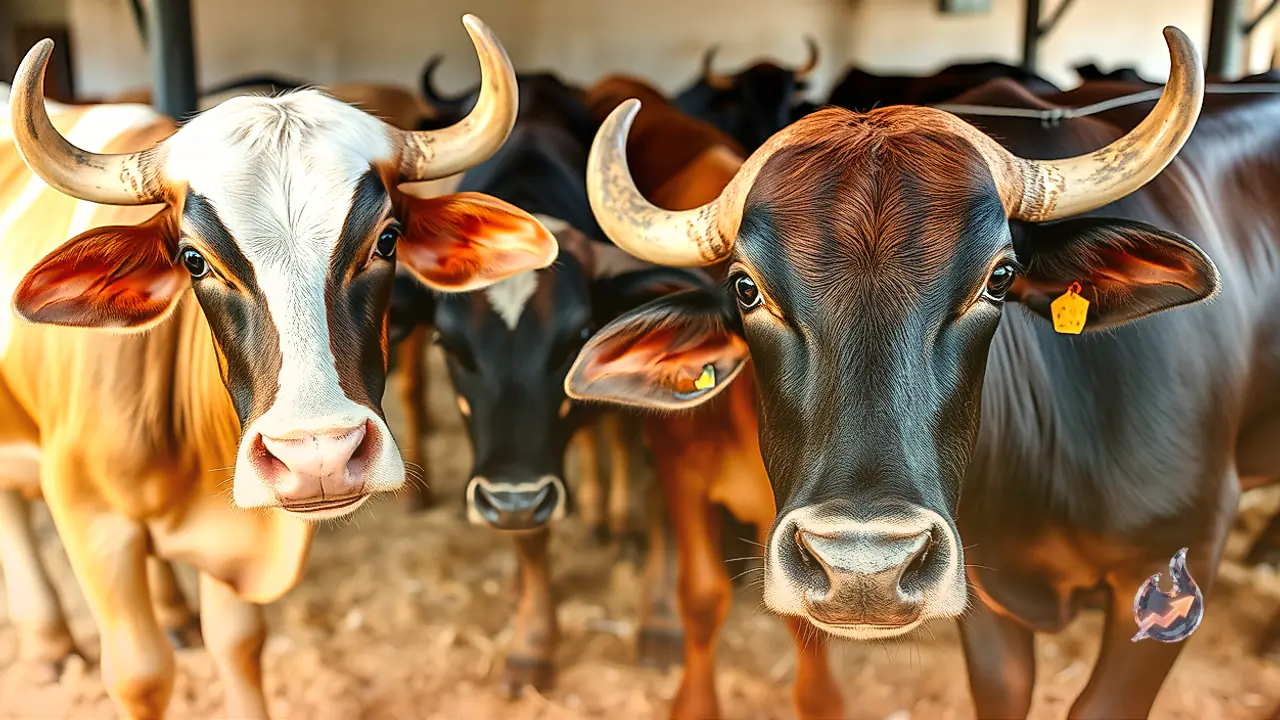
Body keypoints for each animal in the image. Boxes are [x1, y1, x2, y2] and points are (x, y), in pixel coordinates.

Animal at [0, 16, 555, 719]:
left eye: (387, 239)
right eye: (194, 259)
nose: (318, 454)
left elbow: (238, 643)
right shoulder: (87, 515)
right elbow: (140, 675)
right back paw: (48, 643)